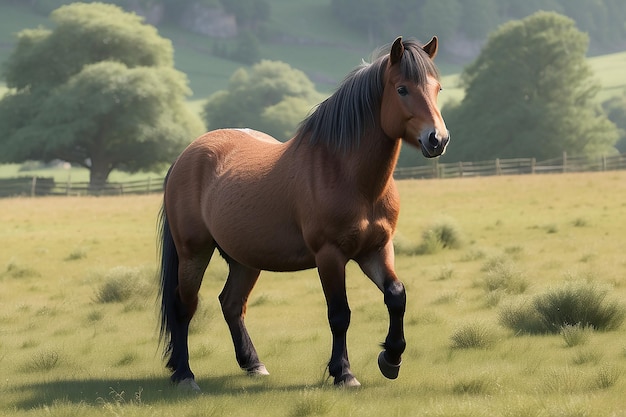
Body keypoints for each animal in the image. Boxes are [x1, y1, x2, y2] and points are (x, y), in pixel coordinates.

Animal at [158, 35, 446, 390]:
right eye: (403, 89)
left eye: (437, 88)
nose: (438, 139)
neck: (346, 174)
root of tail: (186, 156)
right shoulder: (330, 255)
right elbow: (339, 314)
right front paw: (343, 372)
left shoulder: (376, 249)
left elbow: (396, 296)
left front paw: (390, 359)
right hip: (193, 252)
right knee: (184, 306)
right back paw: (185, 374)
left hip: (244, 259)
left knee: (231, 304)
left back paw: (253, 364)